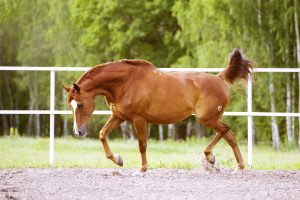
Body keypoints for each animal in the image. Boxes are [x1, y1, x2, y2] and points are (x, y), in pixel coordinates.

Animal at [62, 48, 253, 173]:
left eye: (80, 105)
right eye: (70, 106)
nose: (78, 132)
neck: (124, 83)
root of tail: (220, 78)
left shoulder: (139, 119)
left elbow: (142, 145)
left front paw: (142, 169)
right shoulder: (119, 116)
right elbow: (102, 134)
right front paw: (118, 160)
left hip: (207, 118)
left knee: (226, 130)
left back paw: (211, 157)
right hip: (211, 119)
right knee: (230, 135)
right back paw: (238, 167)